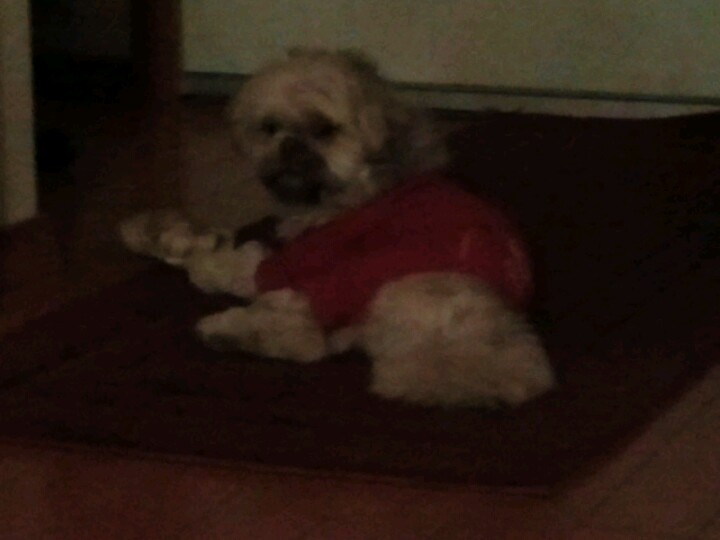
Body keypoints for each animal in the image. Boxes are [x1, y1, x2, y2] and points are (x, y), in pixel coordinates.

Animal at [119, 48, 556, 408]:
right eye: (270, 127)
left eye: (325, 130)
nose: (289, 146)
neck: (362, 186)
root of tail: (465, 343)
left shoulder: (299, 259)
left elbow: (237, 265)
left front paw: (201, 261)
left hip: (352, 281)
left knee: (305, 340)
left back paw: (223, 329)